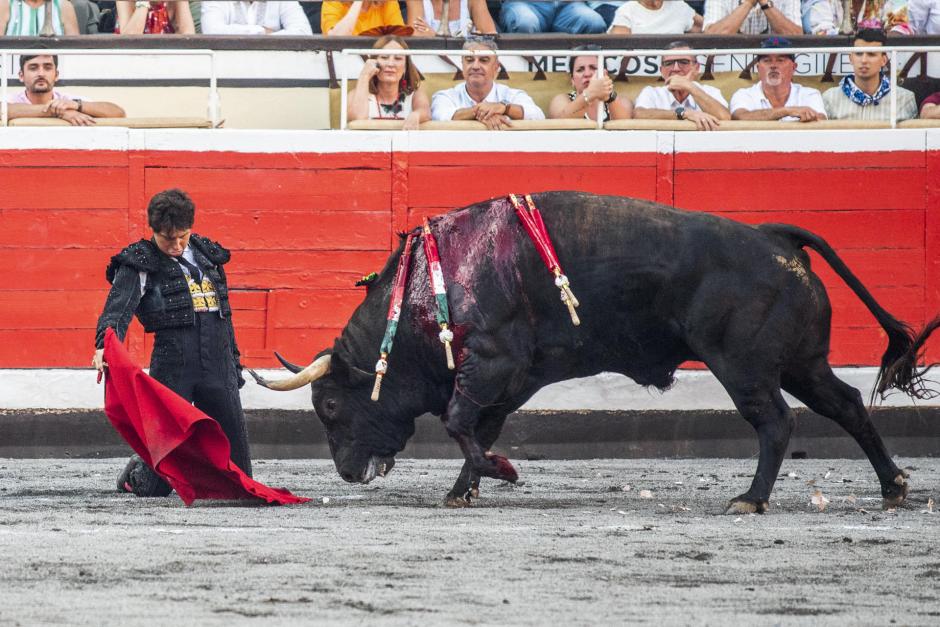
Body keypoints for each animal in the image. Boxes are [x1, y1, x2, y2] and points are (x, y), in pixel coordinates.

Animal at [246, 191, 936, 516]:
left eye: (332, 406)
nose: (345, 472)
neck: (428, 288)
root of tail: (775, 237)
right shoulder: (512, 378)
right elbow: (477, 428)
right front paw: (467, 486)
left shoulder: (490, 364)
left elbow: (460, 422)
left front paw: (498, 472)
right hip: (802, 362)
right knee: (846, 405)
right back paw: (895, 486)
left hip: (744, 366)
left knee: (776, 422)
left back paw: (751, 497)